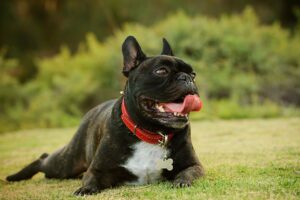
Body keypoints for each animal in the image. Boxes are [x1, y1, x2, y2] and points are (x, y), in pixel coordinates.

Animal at [6, 36, 204, 195]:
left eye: (193, 73)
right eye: (161, 71)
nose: (187, 78)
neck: (151, 133)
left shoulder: (194, 165)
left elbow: (189, 173)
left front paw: (181, 181)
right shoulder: (97, 170)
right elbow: (92, 178)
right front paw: (85, 188)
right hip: (67, 163)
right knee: (44, 160)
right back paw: (15, 176)